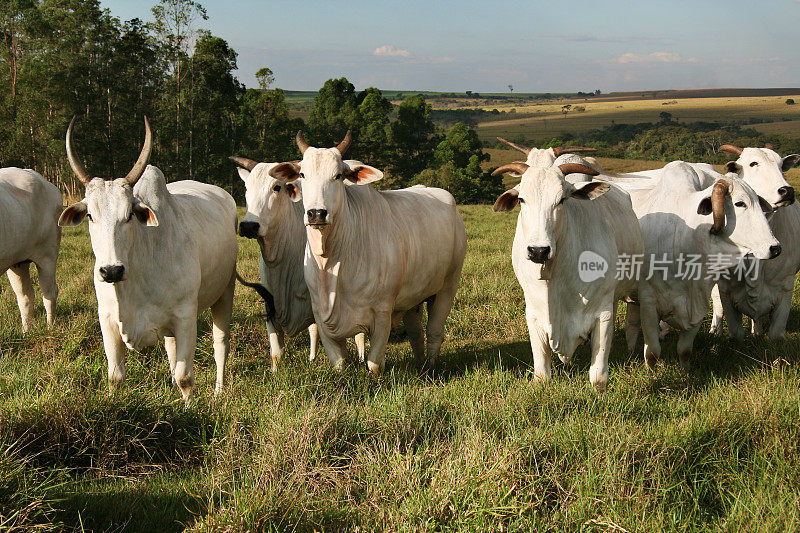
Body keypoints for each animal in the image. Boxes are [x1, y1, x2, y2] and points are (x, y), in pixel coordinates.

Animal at [0, 168, 62, 330]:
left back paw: (50, 327)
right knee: (26, 296)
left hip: (48, 256)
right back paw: (26, 331)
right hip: (17, 262)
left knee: (49, 292)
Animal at [268, 132, 468, 374]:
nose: (316, 213)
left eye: (338, 176)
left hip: (448, 286)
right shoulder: (322, 316)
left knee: (435, 332)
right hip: (414, 298)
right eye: (303, 174)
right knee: (416, 333)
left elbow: (374, 363)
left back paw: (430, 367)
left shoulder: (382, 313)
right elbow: (339, 363)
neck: (331, 260)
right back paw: (420, 365)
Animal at [490, 160, 648, 388]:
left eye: (562, 199)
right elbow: (541, 374)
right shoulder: (534, 314)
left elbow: (598, 377)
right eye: (521, 199)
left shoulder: (603, 313)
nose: (538, 251)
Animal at [612, 161, 780, 366]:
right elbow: (652, 352)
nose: (775, 248)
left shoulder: (698, 303)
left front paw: (685, 368)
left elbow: (685, 350)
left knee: (632, 326)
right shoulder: (649, 303)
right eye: (740, 203)